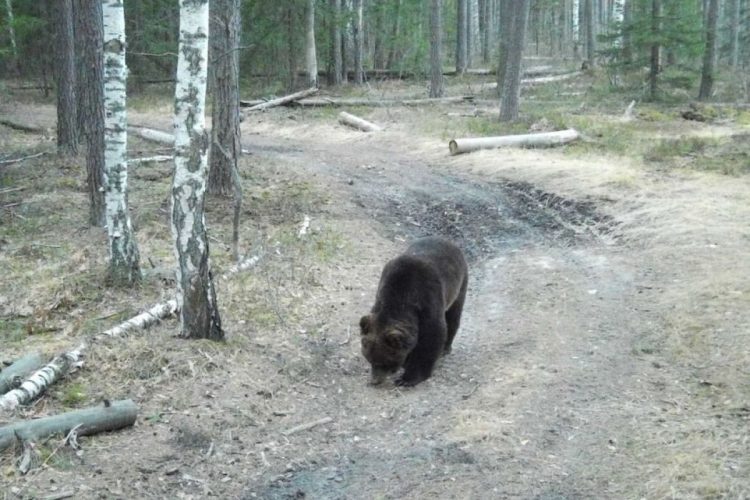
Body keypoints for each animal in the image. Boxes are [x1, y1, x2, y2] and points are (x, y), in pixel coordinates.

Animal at [359, 236, 468, 387]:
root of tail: (448, 241)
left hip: (459, 285)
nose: (375, 380)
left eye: (385, 362)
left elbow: (432, 336)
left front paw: (407, 378)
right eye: (369, 359)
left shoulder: (428, 299)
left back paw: (446, 348)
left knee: (453, 315)